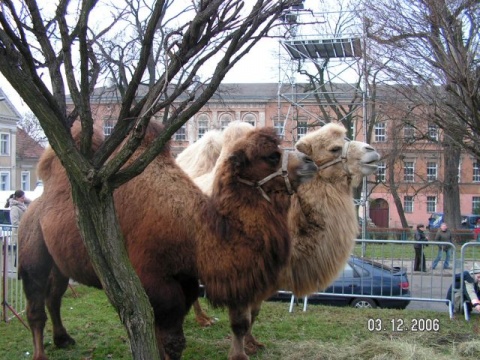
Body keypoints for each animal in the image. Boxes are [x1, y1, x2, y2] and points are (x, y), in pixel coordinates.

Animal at [17, 121, 318, 360]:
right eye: (271, 156)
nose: (311, 163)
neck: (195, 232)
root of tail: (35, 204)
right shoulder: (155, 280)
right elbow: (173, 341)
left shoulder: (185, 280)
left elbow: (163, 336)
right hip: (32, 250)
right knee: (35, 304)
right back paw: (41, 354)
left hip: (59, 261)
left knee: (54, 296)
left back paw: (63, 340)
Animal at [174, 122, 380, 352]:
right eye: (334, 148)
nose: (371, 151)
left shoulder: (270, 277)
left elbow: (255, 313)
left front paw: (252, 343)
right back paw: (202, 319)